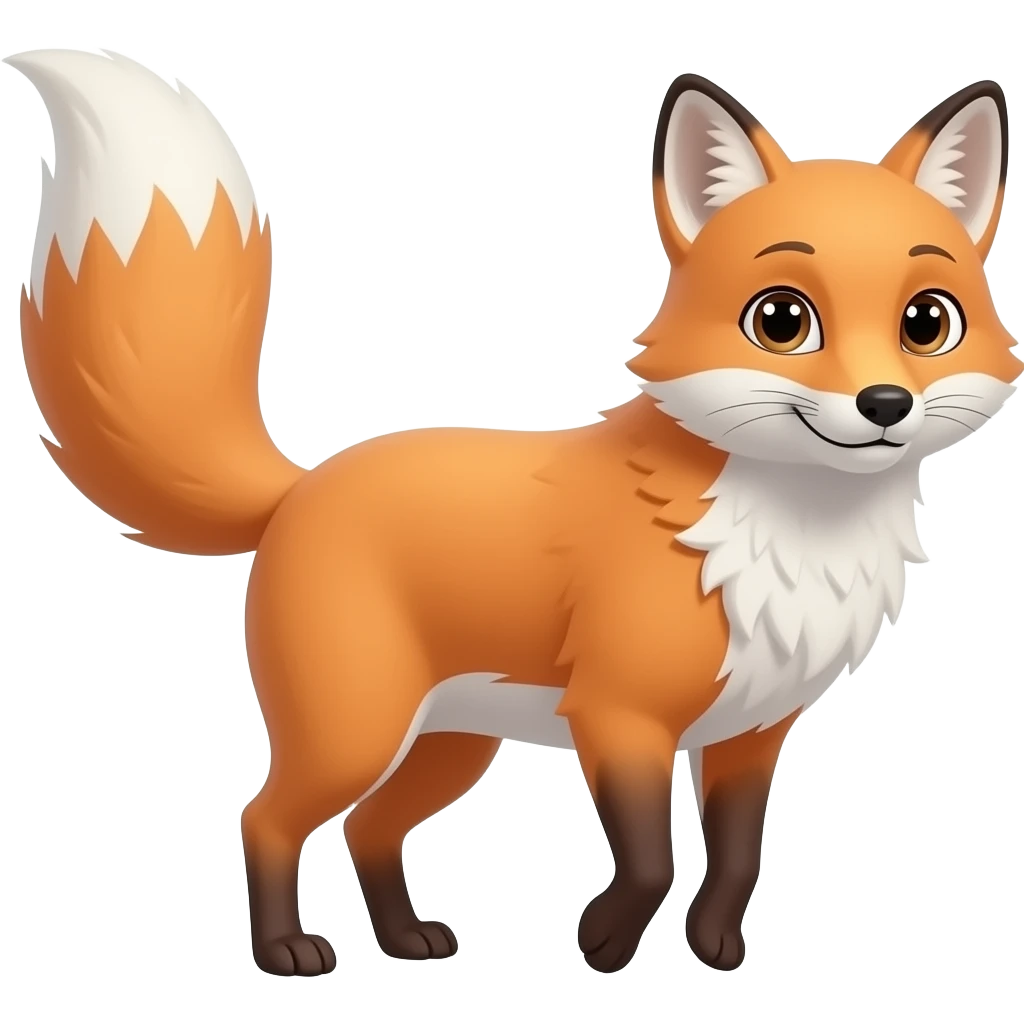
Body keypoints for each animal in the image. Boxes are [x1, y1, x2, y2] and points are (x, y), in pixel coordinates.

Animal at [7, 48, 1018, 976]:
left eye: (927, 323)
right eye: (782, 320)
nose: (885, 404)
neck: (790, 534)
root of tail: (302, 484)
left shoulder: (750, 734)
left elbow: (736, 859)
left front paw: (716, 949)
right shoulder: (619, 715)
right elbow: (650, 859)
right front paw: (605, 944)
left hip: (450, 745)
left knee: (370, 829)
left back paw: (407, 941)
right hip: (356, 730)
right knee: (265, 818)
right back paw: (287, 950)